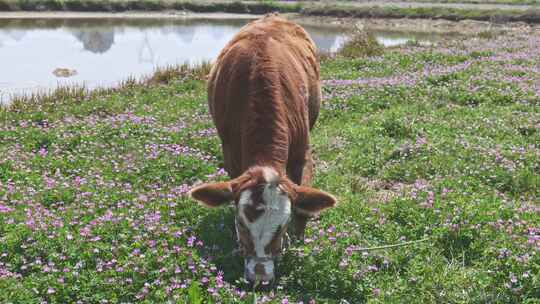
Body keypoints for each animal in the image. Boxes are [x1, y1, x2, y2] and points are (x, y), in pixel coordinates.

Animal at [188, 15, 336, 282]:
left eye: (283, 226)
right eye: (241, 224)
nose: (260, 276)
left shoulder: (302, 153)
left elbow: (303, 204)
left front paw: (298, 242)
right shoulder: (230, 153)